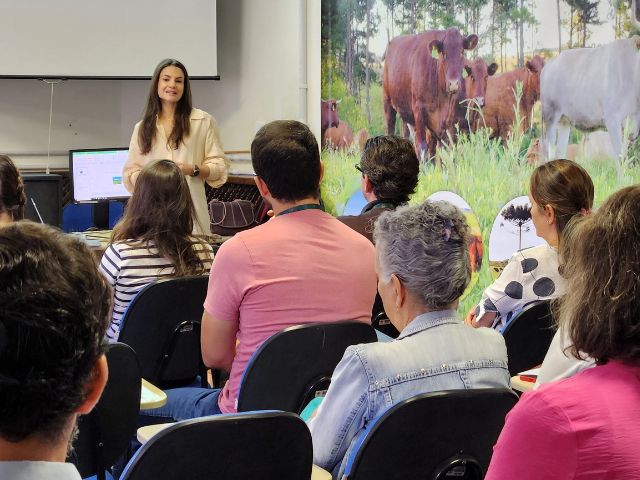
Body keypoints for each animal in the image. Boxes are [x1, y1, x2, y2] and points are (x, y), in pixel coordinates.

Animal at [382, 28, 478, 163]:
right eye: (444, 53)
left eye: (462, 52)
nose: (453, 83)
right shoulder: (419, 110)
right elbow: (422, 146)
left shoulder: (444, 117)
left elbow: (440, 147)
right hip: (388, 103)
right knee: (391, 131)